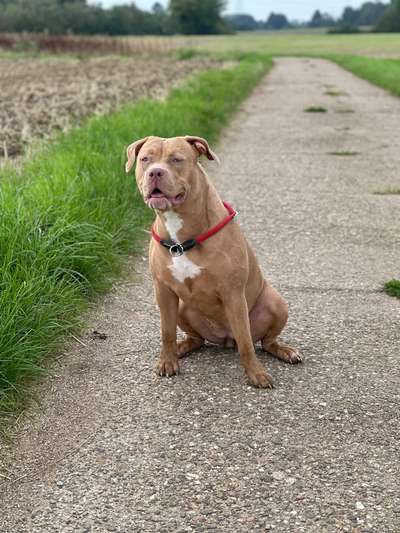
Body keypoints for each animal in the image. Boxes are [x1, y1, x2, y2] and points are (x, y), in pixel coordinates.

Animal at [125, 134, 300, 386]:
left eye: (177, 159)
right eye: (145, 159)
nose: (155, 172)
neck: (181, 235)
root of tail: (225, 339)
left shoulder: (233, 293)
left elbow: (246, 342)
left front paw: (256, 374)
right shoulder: (164, 291)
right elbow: (166, 332)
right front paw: (167, 361)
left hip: (276, 302)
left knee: (264, 341)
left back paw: (285, 351)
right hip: (182, 307)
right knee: (196, 338)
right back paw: (181, 348)